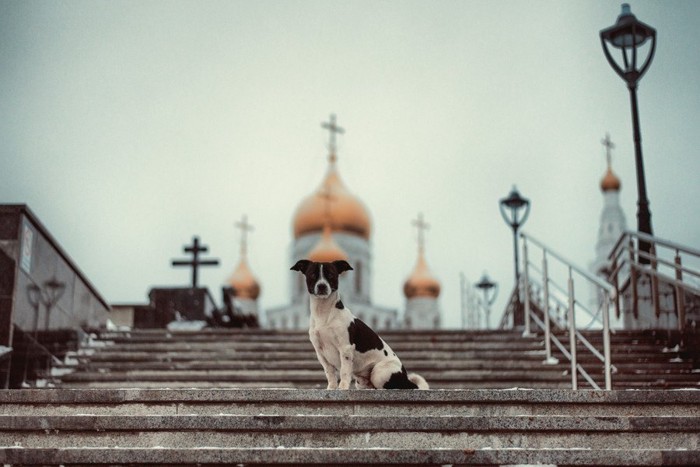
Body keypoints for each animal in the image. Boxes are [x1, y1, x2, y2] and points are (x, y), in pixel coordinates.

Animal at [288, 260, 426, 392]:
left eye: (331, 275)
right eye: (312, 275)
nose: (322, 286)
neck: (324, 313)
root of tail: (406, 378)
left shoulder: (345, 348)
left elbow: (344, 371)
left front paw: (342, 388)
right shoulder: (320, 352)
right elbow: (330, 374)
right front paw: (331, 388)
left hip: (379, 372)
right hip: (361, 382)